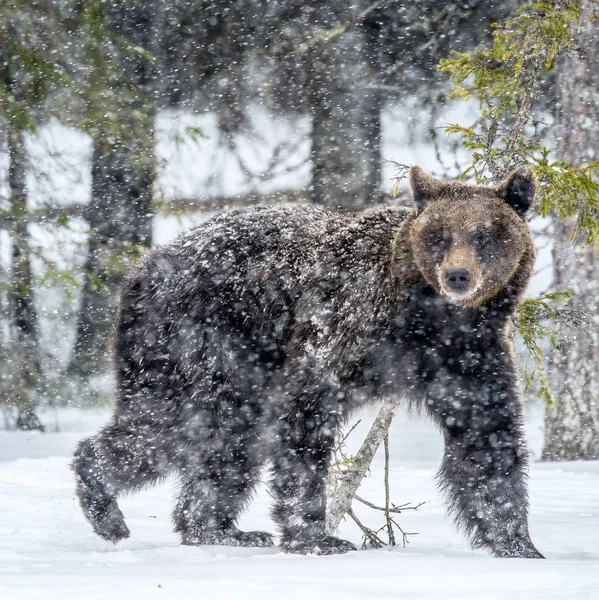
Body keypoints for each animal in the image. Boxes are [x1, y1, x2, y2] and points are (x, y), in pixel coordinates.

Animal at [74, 165, 544, 556]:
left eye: (485, 235)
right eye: (439, 236)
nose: (458, 276)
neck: (425, 319)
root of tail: (143, 266)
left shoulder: (468, 357)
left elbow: (488, 440)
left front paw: (519, 544)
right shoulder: (343, 328)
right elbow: (306, 413)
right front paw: (317, 537)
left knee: (229, 442)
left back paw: (220, 529)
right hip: (199, 339)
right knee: (175, 423)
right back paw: (104, 503)